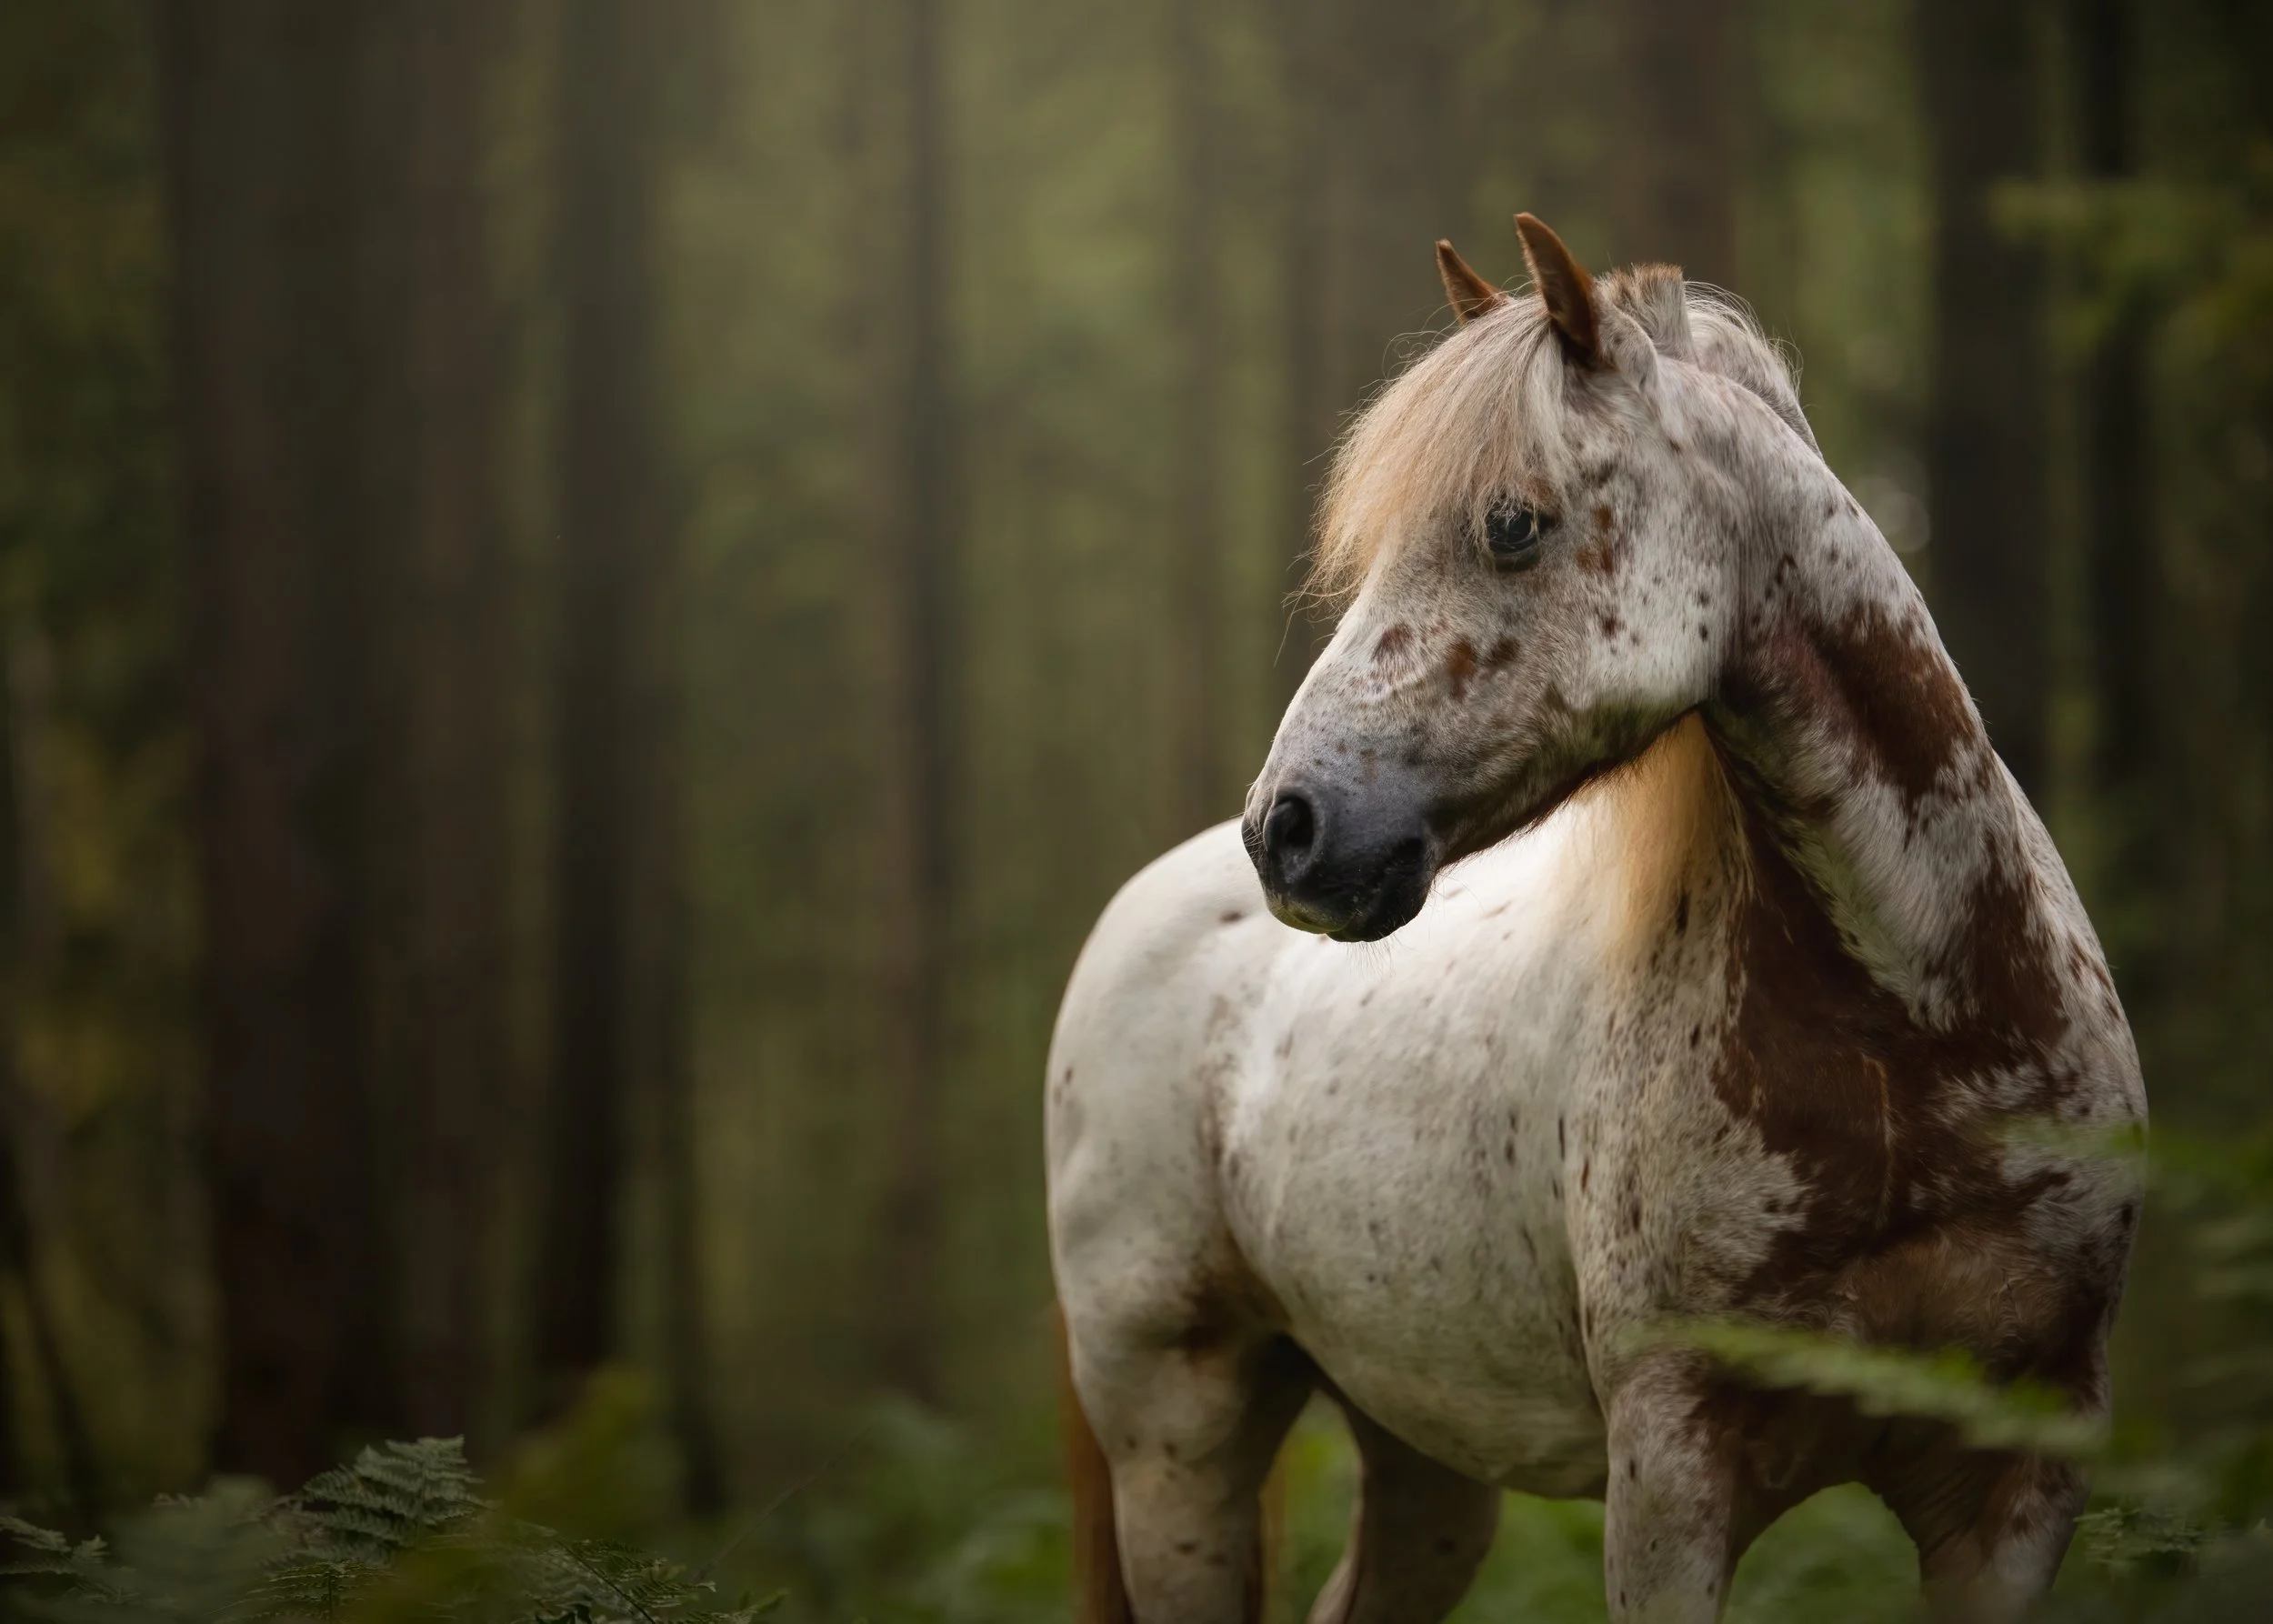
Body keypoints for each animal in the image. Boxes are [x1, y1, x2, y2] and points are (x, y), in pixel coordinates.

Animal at [1043, 213, 2145, 1623]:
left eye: (1512, 523)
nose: (1284, 826)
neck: (1921, 1032)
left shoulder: (2015, 1483)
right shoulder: (1670, 1466)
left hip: (1420, 1452)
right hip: (1180, 1439)